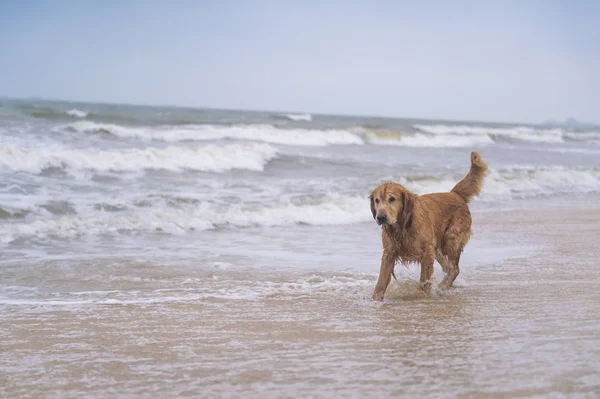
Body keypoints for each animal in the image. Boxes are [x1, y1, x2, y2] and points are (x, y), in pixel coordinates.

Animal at [370, 152, 488, 302]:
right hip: (438, 248)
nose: (380, 217)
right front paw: (375, 299)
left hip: (451, 238)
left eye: (392, 199)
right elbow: (381, 281)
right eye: (377, 200)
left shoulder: (427, 252)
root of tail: (455, 193)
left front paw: (423, 295)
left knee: (454, 269)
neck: (403, 226)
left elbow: (424, 279)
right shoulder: (389, 252)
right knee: (449, 267)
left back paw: (442, 287)